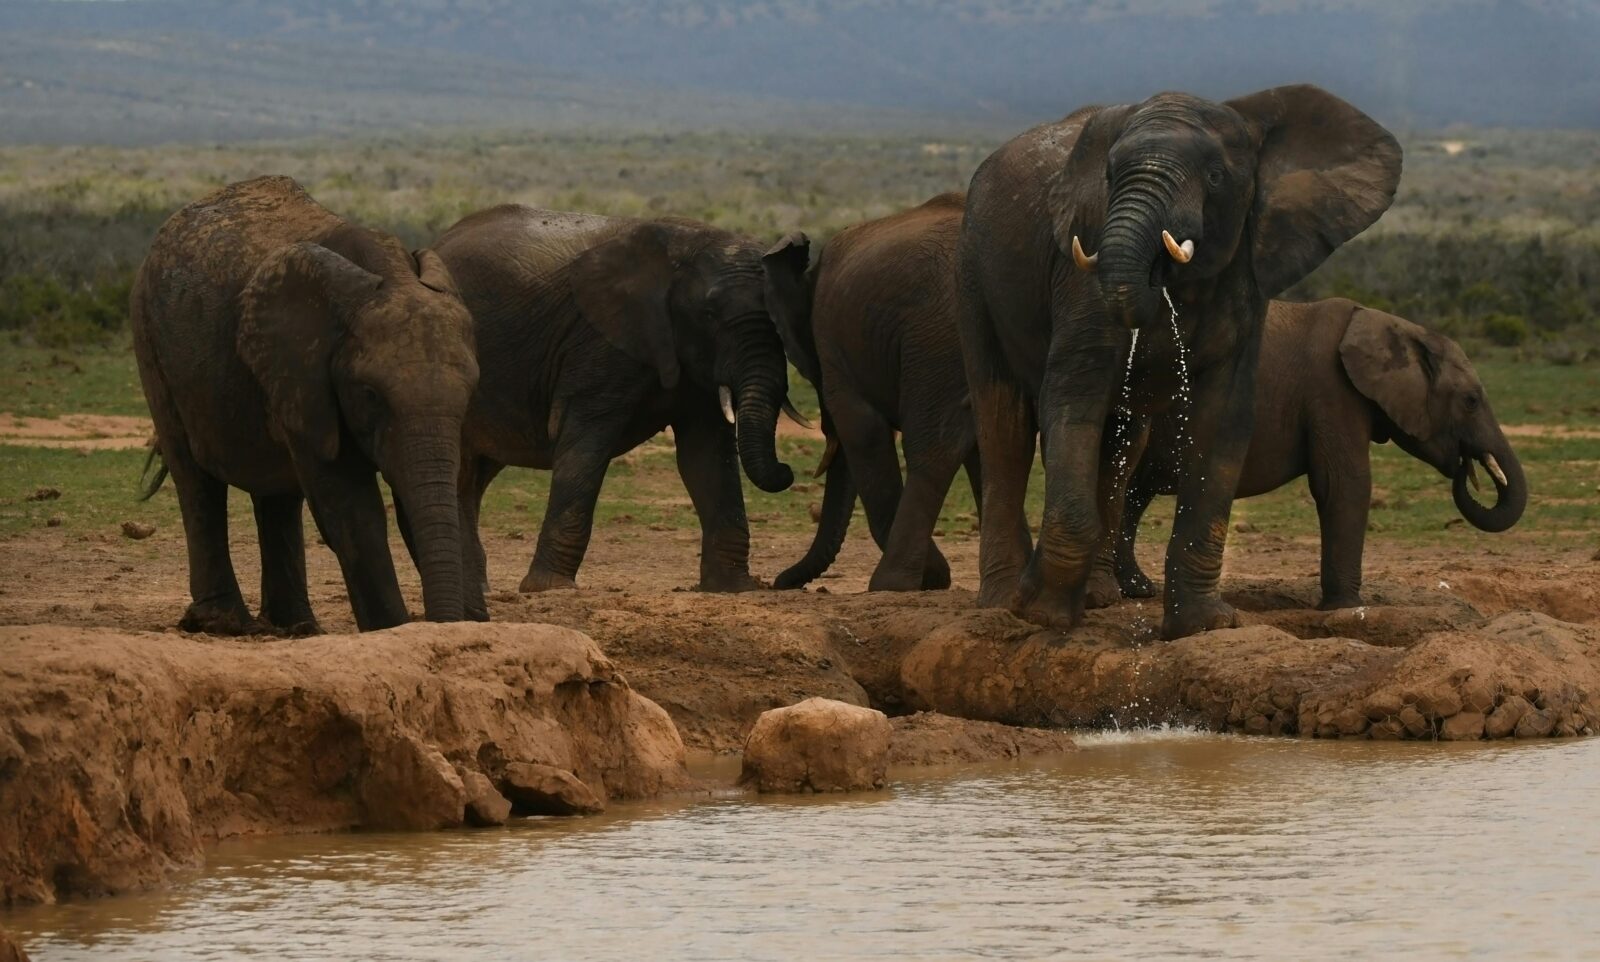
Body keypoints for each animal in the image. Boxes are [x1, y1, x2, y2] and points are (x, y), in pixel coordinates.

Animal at [131, 175, 479, 634]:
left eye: (470, 393)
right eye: (369, 395)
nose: (446, 622)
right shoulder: (306, 375)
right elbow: (352, 508)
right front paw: (393, 632)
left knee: (277, 494)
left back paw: (295, 627)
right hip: (151, 340)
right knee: (195, 477)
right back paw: (223, 625)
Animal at [429, 206, 809, 615]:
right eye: (708, 314)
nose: (788, 471)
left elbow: (706, 457)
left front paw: (733, 589)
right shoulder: (599, 343)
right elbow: (586, 447)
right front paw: (549, 589)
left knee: (475, 476)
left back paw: (480, 589)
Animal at [774, 192, 980, 591]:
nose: (776, 581)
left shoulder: (832, 345)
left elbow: (862, 429)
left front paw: (932, 577)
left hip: (934, 339)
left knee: (931, 447)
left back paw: (891, 583)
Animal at [956, 84, 1402, 639]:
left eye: (1214, 176)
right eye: (1109, 176)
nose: (1157, 274)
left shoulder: (1247, 273)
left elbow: (1223, 418)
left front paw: (1204, 626)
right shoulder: (1080, 271)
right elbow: (1074, 392)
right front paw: (1039, 613)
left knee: (1121, 439)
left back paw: (1099, 596)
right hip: (973, 275)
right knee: (1005, 427)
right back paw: (1001, 600)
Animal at [1107, 298, 1527, 610]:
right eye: (1471, 400)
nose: (1466, 466)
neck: (1398, 327)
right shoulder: (1332, 391)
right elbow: (1344, 484)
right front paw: (1347, 608)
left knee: (1133, 495)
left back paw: (1136, 590)